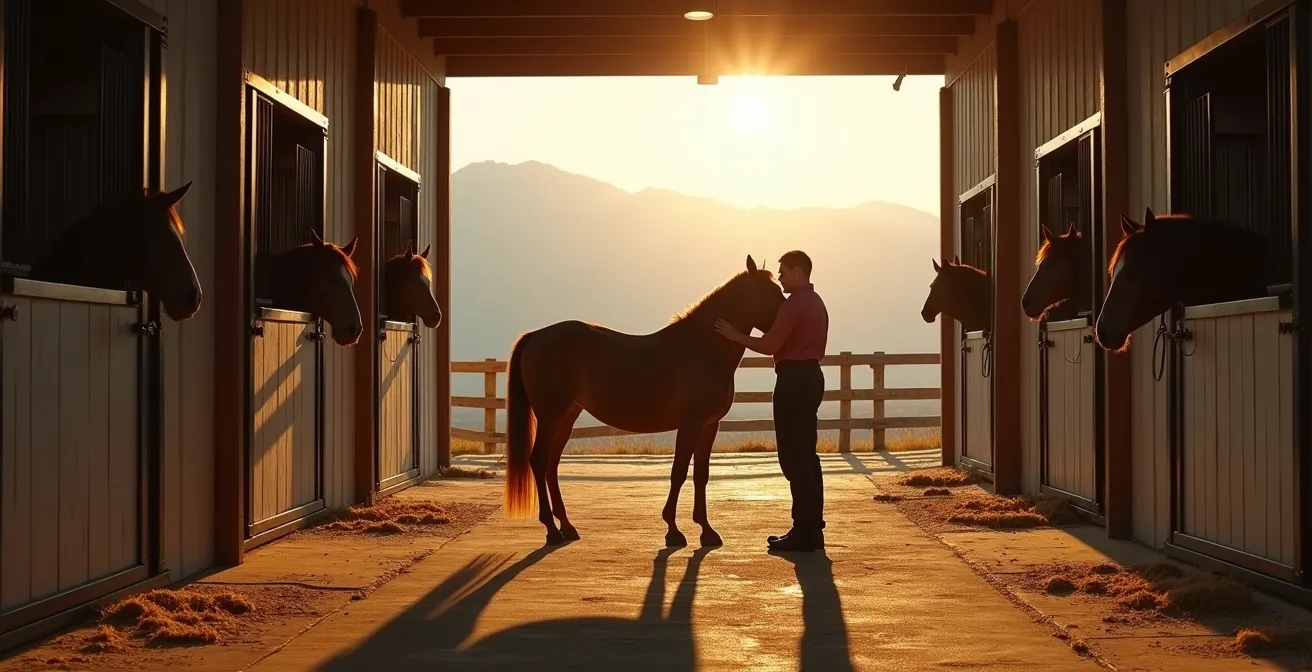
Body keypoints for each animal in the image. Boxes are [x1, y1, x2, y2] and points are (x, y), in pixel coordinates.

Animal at [503, 255, 786, 547]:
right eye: (772, 293)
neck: (703, 348)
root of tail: (536, 335)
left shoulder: (710, 425)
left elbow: (701, 474)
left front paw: (707, 531)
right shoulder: (691, 423)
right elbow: (679, 471)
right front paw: (673, 530)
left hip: (567, 416)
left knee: (551, 464)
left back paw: (567, 526)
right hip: (550, 415)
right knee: (539, 461)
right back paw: (552, 530)